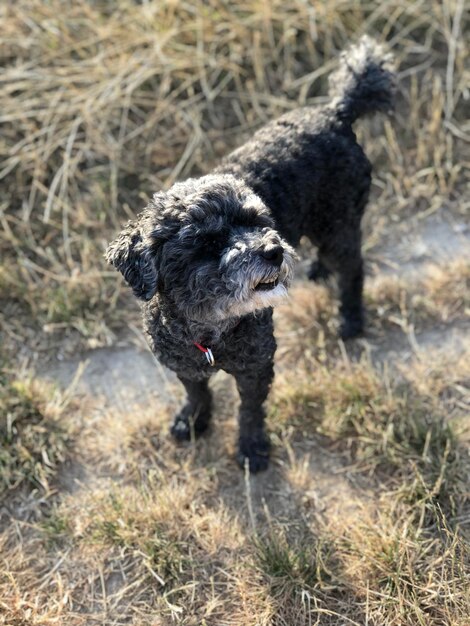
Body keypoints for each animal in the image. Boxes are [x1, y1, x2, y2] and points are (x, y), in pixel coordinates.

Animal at [107, 36, 396, 470]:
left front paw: (251, 447)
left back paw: (350, 318)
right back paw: (319, 271)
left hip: (338, 223)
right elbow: (197, 392)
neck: (210, 332)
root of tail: (337, 111)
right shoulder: (183, 365)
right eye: (208, 243)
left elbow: (250, 409)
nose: (273, 250)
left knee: (354, 269)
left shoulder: (256, 366)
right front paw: (193, 420)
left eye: (259, 220)